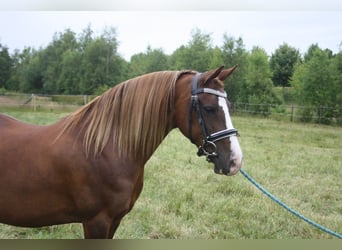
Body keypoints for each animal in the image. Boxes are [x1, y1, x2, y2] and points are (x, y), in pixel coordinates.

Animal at [0, 65, 242, 237]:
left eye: (229, 107)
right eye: (209, 108)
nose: (235, 161)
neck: (104, 150)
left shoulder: (114, 220)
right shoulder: (96, 222)